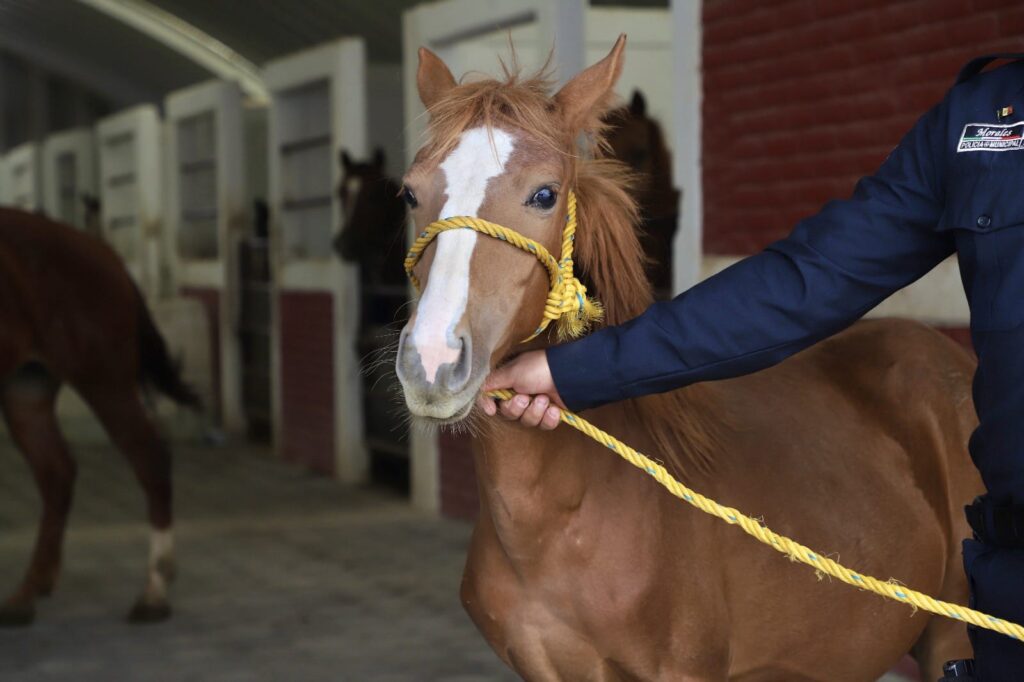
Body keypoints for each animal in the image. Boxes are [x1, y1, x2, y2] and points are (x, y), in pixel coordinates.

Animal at [0, 206, 197, 622]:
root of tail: (103, 251)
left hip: (104, 381)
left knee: (150, 458)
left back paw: (154, 591)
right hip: (25, 390)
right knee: (56, 473)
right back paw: (27, 592)